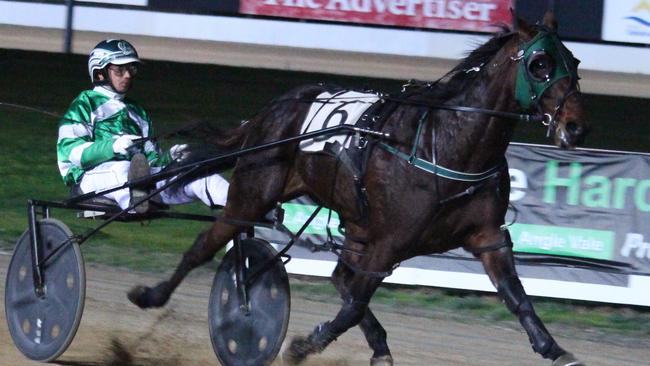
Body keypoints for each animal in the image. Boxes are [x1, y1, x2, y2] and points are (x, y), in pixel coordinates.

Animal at [126, 11, 588, 366]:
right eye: (540, 64)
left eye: (575, 61)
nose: (575, 126)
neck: (449, 142)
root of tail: (271, 110)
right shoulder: (390, 241)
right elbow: (353, 306)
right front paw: (303, 345)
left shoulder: (487, 236)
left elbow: (517, 296)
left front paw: (554, 348)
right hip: (252, 195)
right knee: (205, 244)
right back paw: (152, 295)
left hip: (354, 221)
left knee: (340, 276)